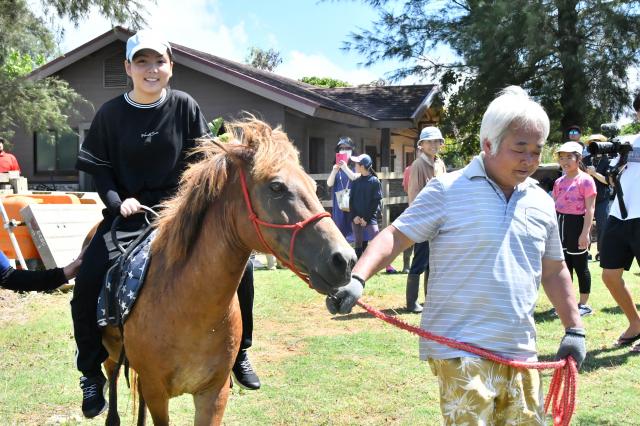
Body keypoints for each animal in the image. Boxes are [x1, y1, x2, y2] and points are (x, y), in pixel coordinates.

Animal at [102, 118, 358, 424]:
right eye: (276, 187)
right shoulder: (156, 393)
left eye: (312, 185)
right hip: (110, 355)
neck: (186, 307)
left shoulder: (214, 393)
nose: (345, 259)